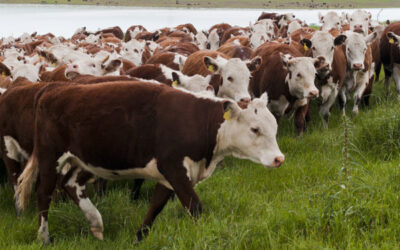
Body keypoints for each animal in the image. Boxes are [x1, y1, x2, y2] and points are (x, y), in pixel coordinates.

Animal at [16, 81, 284, 243]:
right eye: (255, 129)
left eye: (274, 127)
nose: (279, 159)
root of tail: (55, 88)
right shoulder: (174, 168)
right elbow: (195, 207)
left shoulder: (169, 176)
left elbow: (154, 208)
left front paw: (138, 239)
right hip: (50, 156)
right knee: (44, 193)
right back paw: (45, 237)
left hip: (86, 160)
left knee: (71, 184)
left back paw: (96, 224)